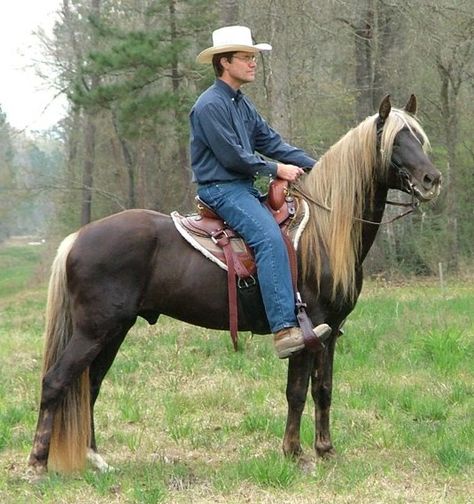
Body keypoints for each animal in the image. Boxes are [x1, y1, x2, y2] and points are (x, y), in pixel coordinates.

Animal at [26, 95, 440, 476]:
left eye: (419, 138)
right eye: (395, 141)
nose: (431, 180)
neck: (323, 234)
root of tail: (77, 238)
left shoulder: (330, 331)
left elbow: (323, 390)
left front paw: (326, 450)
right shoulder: (306, 330)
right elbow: (296, 392)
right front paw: (295, 453)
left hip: (113, 331)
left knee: (89, 385)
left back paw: (95, 459)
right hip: (94, 330)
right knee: (56, 382)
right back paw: (37, 464)